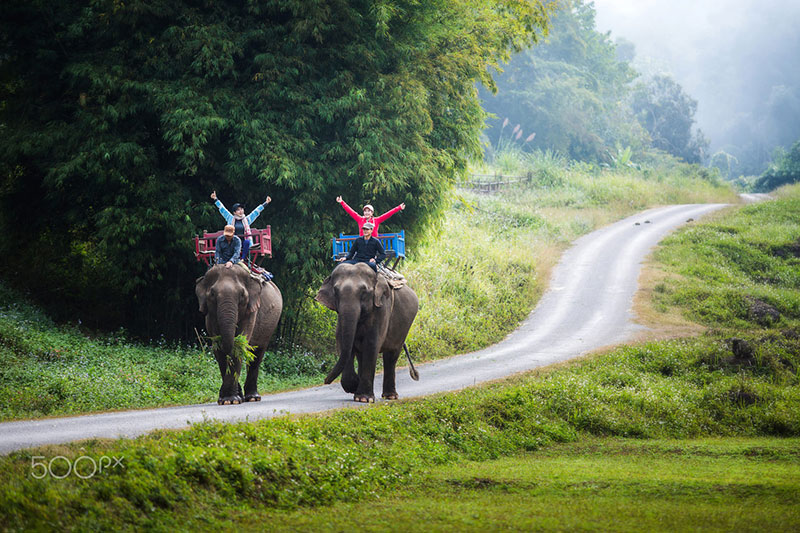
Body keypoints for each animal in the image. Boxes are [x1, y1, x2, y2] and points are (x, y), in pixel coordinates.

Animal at [195, 264, 282, 406]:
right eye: (212, 294)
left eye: (242, 295)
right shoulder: (209, 315)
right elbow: (219, 350)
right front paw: (227, 399)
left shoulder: (252, 310)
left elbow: (239, 346)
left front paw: (230, 400)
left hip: (270, 327)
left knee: (257, 355)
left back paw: (253, 398)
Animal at [316, 260, 422, 402]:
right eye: (336, 291)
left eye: (364, 292)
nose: (325, 381)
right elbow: (342, 342)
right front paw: (354, 387)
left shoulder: (381, 308)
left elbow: (372, 344)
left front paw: (363, 398)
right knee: (362, 356)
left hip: (404, 328)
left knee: (391, 356)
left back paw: (390, 396)